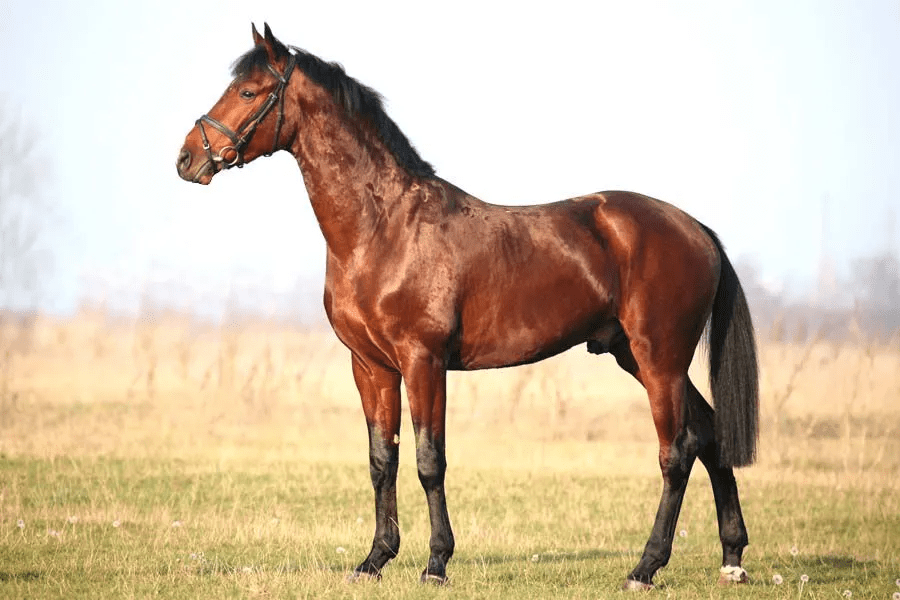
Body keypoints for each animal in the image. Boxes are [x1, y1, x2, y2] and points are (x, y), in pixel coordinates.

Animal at [176, 23, 759, 590]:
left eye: (248, 91)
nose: (188, 158)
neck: (383, 229)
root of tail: (695, 228)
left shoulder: (423, 361)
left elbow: (428, 461)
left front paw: (435, 563)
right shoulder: (371, 366)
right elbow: (381, 460)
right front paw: (374, 559)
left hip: (660, 359)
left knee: (676, 452)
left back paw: (645, 567)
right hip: (637, 357)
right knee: (709, 437)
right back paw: (731, 559)